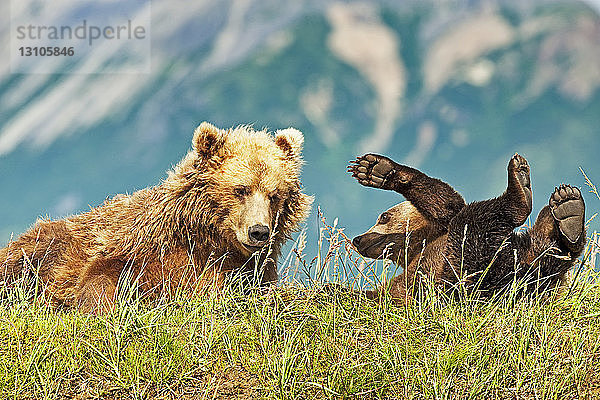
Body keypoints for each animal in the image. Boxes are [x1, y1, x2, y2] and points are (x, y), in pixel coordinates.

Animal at [1, 122, 314, 312]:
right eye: (241, 189)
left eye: (275, 195)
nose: (258, 231)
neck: (208, 238)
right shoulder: (145, 246)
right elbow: (103, 273)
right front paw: (97, 306)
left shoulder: (247, 269)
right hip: (40, 247)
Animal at [346, 152, 584, 300]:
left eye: (384, 217)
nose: (358, 239)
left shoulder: (441, 230)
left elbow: (447, 202)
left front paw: (375, 168)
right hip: (469, 271)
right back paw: (562, 210)